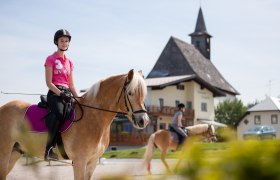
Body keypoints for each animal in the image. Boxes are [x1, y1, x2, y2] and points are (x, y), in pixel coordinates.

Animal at [0, 69, 150, 180]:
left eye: (144, 94)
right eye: (130, 93)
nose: (143, 120)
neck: (93, 117)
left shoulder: (92, 162)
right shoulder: (79, 162)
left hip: (15, 152)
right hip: (5, 153)